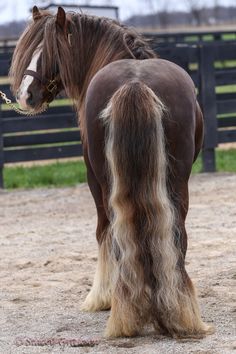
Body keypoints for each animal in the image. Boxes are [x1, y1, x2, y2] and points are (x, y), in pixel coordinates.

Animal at [9, 4, 213, 338]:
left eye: (50, 51)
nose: (26, 96)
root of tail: (135, 83)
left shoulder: (93, 178)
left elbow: (102, 231)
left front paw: (101, 296)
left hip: (107, 182)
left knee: (115, 229)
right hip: (177, 183)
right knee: (175, 232)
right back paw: (177, 311)